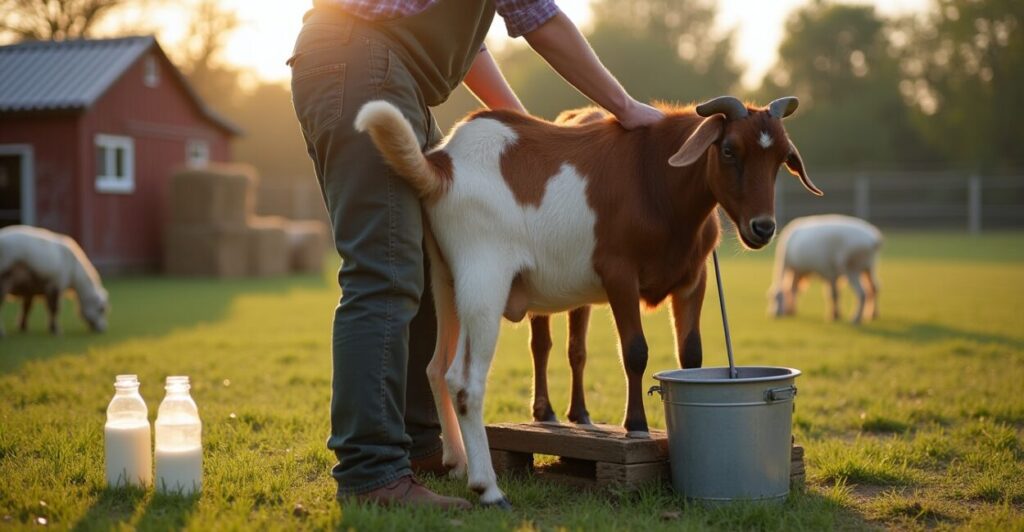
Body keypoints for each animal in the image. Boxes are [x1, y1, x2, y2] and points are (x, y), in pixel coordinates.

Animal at [356, 95, 821, 507]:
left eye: (783, 158)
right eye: (728, 149)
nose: (762, 228)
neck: (655, 183)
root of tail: (444, 166)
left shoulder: (694, 280)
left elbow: (691, 356)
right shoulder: (618, 274)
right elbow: (635, 351)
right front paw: (636, 426)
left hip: (445, 278)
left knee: (436, 368)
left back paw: (457, 463)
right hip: (484, 277)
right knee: (464, 380)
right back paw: (488, 489)